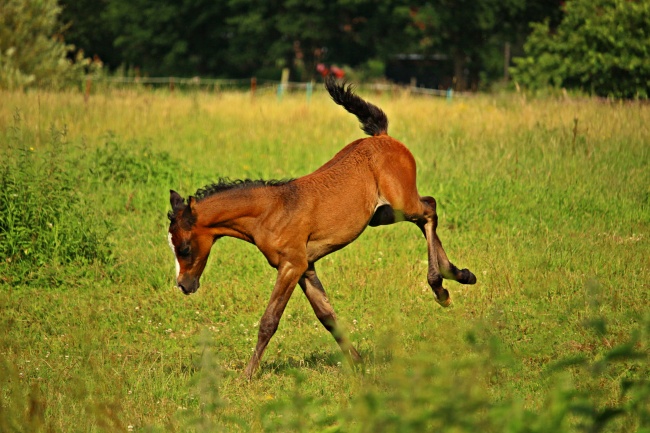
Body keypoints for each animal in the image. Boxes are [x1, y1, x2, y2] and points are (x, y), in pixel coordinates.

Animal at [167, 77, 477, 379]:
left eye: (184, 247)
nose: (183, 285)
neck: (271, 211)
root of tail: (383, 137)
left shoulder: (291, 265)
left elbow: (269, 320)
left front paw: (247, 376)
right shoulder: (307, 267)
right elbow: (328, 317)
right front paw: (358, 365)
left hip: (402, 203)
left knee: (429, 209)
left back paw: (440, 286)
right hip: (382, 215)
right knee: (426, 214)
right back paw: (458, 275)